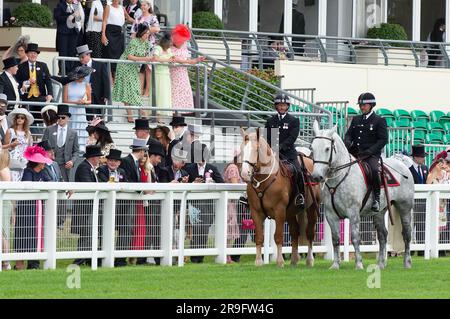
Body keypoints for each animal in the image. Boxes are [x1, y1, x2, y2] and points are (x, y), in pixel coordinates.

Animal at [239, 129, 320, 268]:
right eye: (242, 149)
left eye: (256, 149)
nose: (244, 174)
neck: (264, 180)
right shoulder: (256, 212)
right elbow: (259, 237)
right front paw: (258, 261)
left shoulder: (279, 211)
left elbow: (278, 236)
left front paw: (280, 262)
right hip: (291, 213)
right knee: (295, 232)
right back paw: (294, 260)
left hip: (312, 209)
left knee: (309, 234)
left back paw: (309, 260)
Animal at [312, 121, 414, 272]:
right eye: (312, 148)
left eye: (327, 148)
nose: (316, 176)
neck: (339, 178)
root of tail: (403, 165)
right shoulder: (330, 214)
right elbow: (335, 239)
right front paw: (335, 265)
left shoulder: (353, 213)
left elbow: (355, 238)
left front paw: (359, 264)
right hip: (379, 213)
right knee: (383, 236)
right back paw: (380, 264)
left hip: (404, 208)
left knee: (406, 234)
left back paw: (407, 262)